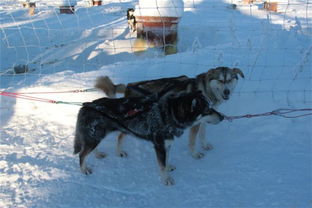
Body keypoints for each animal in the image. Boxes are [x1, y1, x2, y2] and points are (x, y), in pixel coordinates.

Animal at [73, 91, 224, 185]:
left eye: (211, 107)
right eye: (207, 110)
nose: (222, 117)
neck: (167, 115)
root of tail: (87, 105)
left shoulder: (167, 145)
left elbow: (166, 161)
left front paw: (168, 167)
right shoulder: (160, 146)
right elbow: (161, 165)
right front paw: (166, 179)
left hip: (99, 136)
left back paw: (100, 154)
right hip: (94, 137)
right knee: (82, 154)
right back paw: (84, 169)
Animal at [95, 66, 244, 158]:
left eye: (229, 79)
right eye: (220, 80)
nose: (227, 92)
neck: (206, 91)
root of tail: (128, 86)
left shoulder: (204, 120)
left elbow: (202, 135)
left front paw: (205, 145)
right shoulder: (194, 125)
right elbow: (192, 142)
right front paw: (195, 154)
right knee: (120, 136)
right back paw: (120, 152)